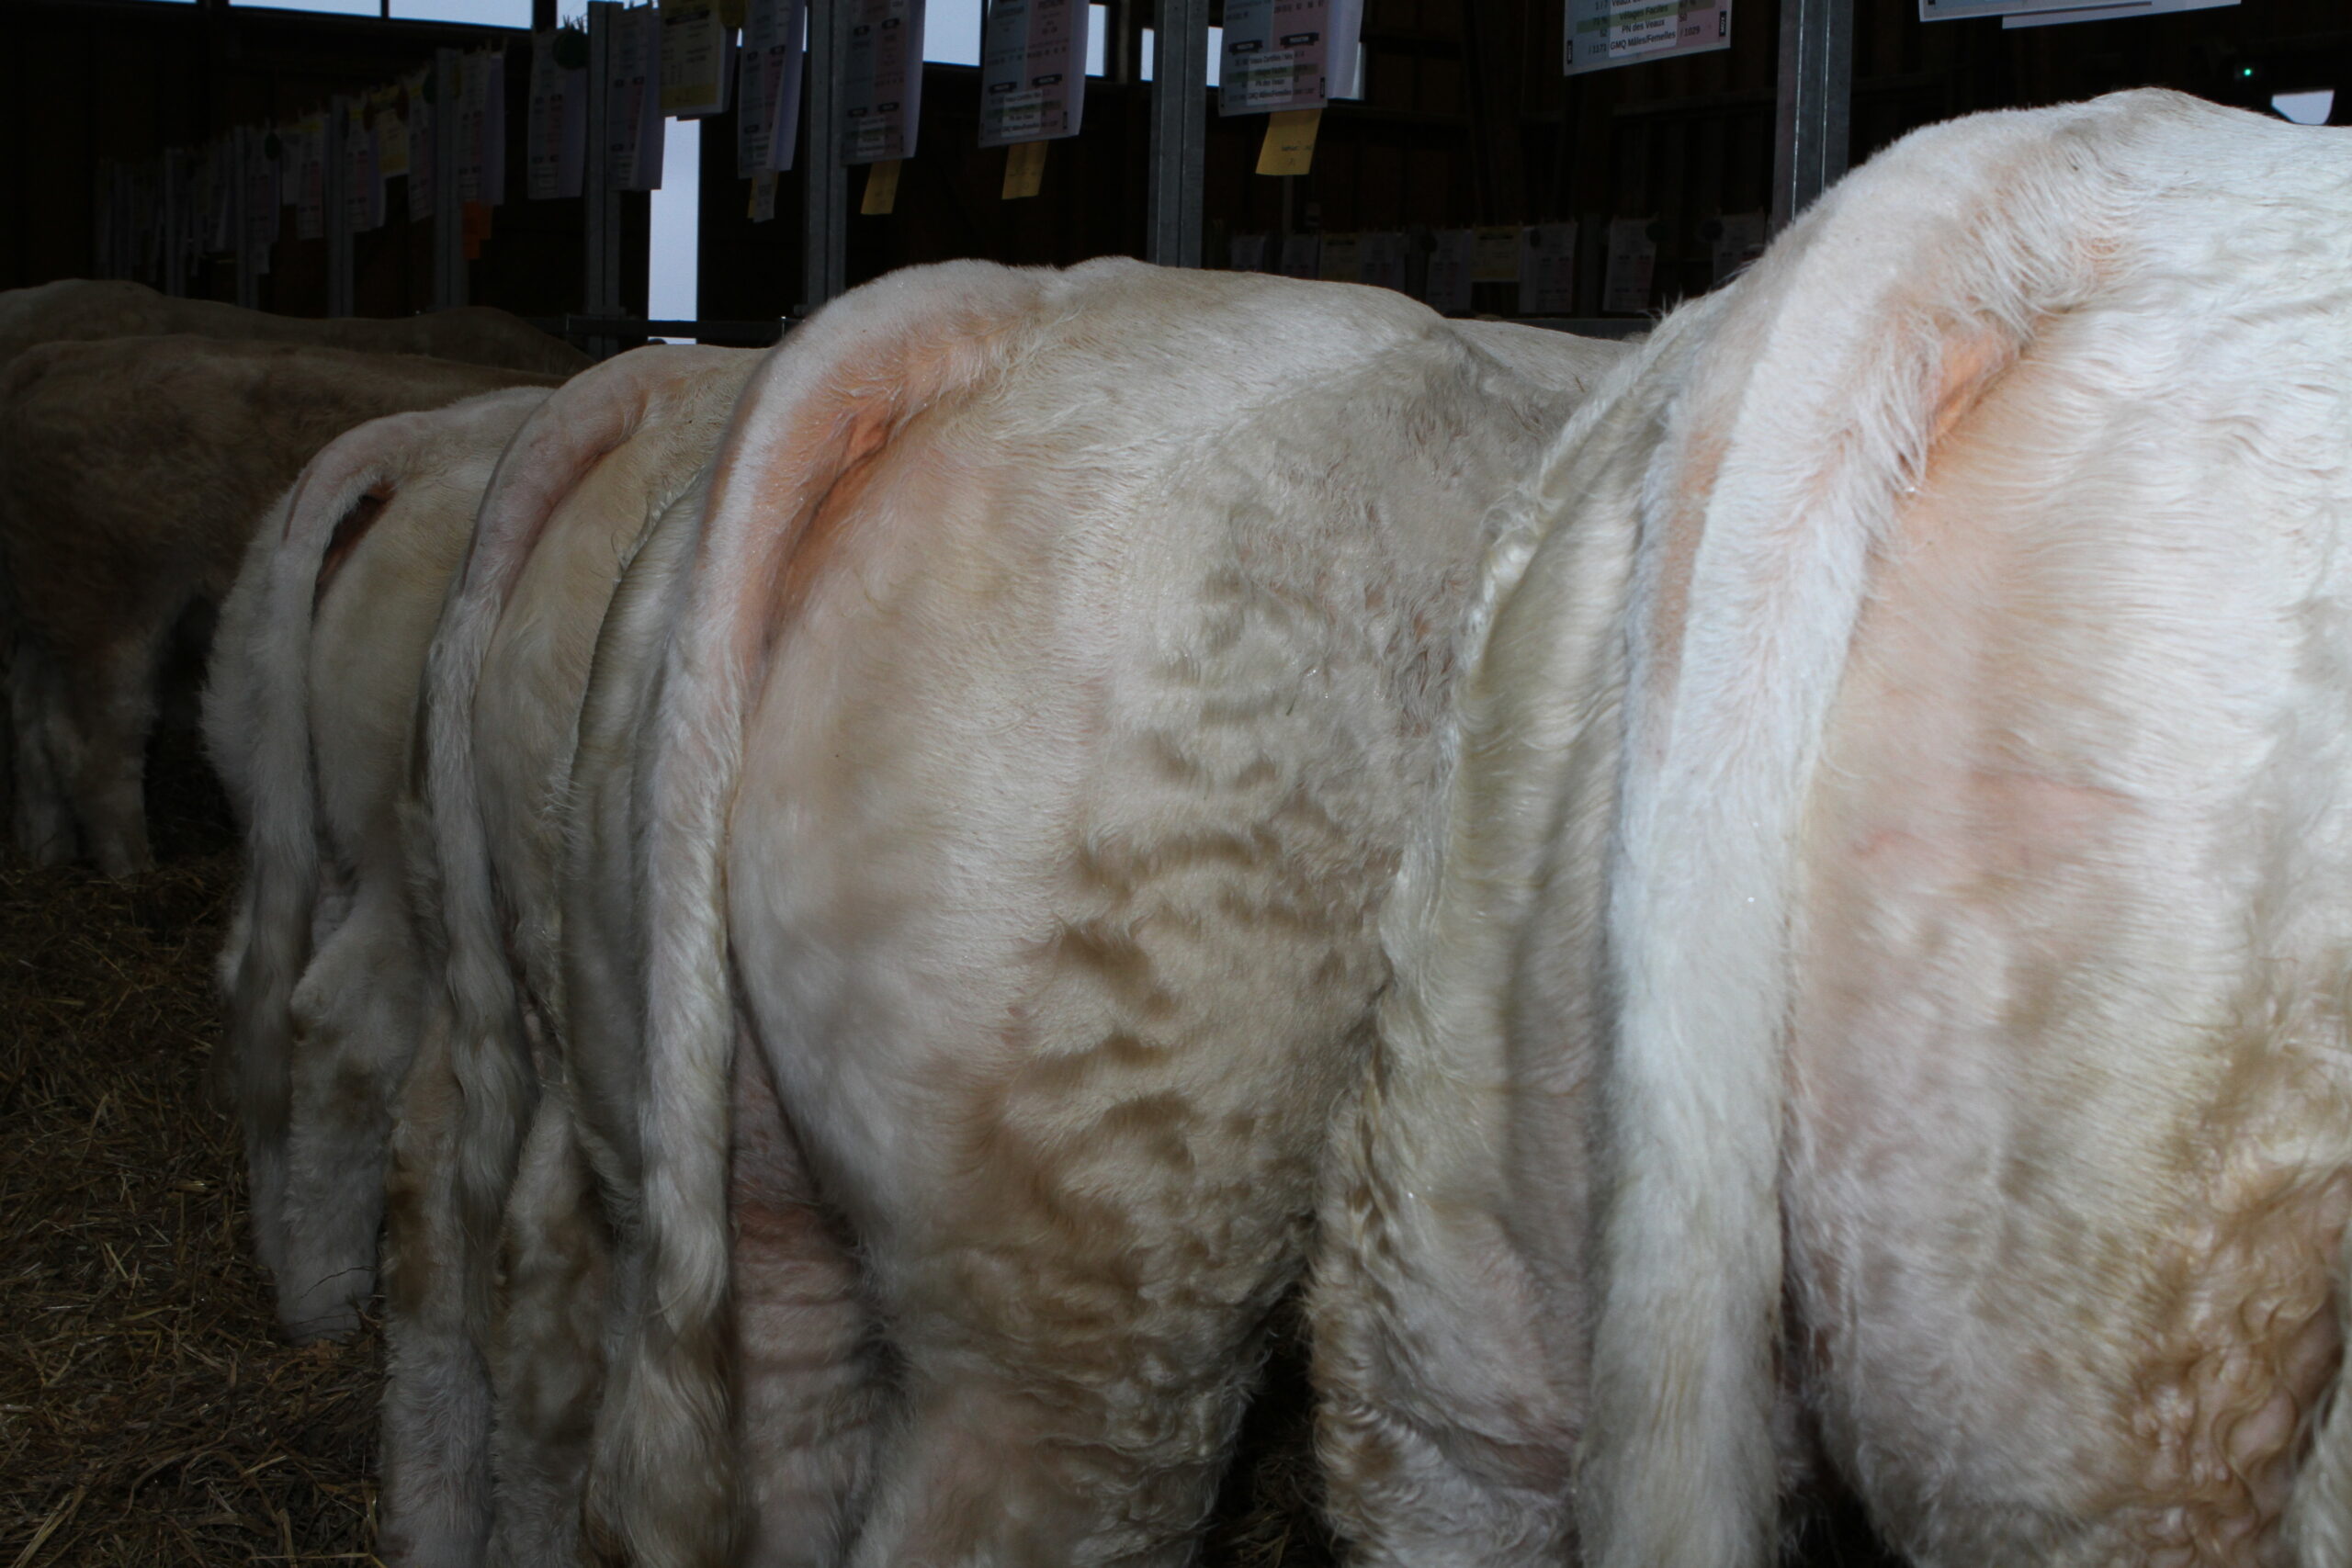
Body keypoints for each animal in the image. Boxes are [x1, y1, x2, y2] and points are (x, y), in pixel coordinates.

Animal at [203, 385, 550, 1344]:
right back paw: (324, 1296)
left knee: (259, 981)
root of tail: (422, 441)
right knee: (344, 1022)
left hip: (280, 795)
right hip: (405, 864)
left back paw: (281, 1240)